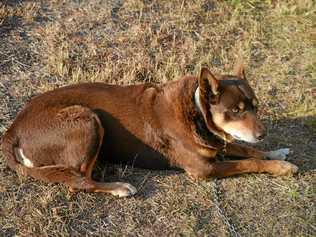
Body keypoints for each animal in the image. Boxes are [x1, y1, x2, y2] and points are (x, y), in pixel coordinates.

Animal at [0, 64, 296, 197]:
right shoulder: (203, 169)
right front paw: (281, 167)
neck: (197, 112)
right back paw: (118, 187)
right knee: (79, 180)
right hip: (87, 119)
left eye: (255, 106)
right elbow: (248, 162)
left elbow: (244, 148)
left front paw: (276, 152)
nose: (263, 134)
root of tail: (12, 131)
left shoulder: (218, 142)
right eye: (235, 110)